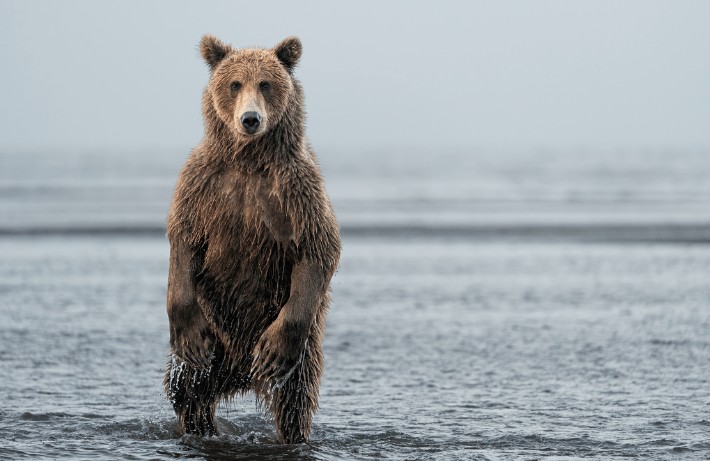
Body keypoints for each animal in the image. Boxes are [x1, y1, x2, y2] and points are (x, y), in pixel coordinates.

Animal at [168, 34, 344, 444]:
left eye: (265, 83)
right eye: (235, 84)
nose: (250, 119)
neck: (248, 160)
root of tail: (240, 375)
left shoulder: (297, 190)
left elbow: (319, 248)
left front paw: (274, 352)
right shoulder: (202, 183)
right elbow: (183, 239)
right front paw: (188, 335)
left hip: (301, 348)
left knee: (294, 399)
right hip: (214, 327)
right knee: (188, 389)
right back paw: (199, 426)